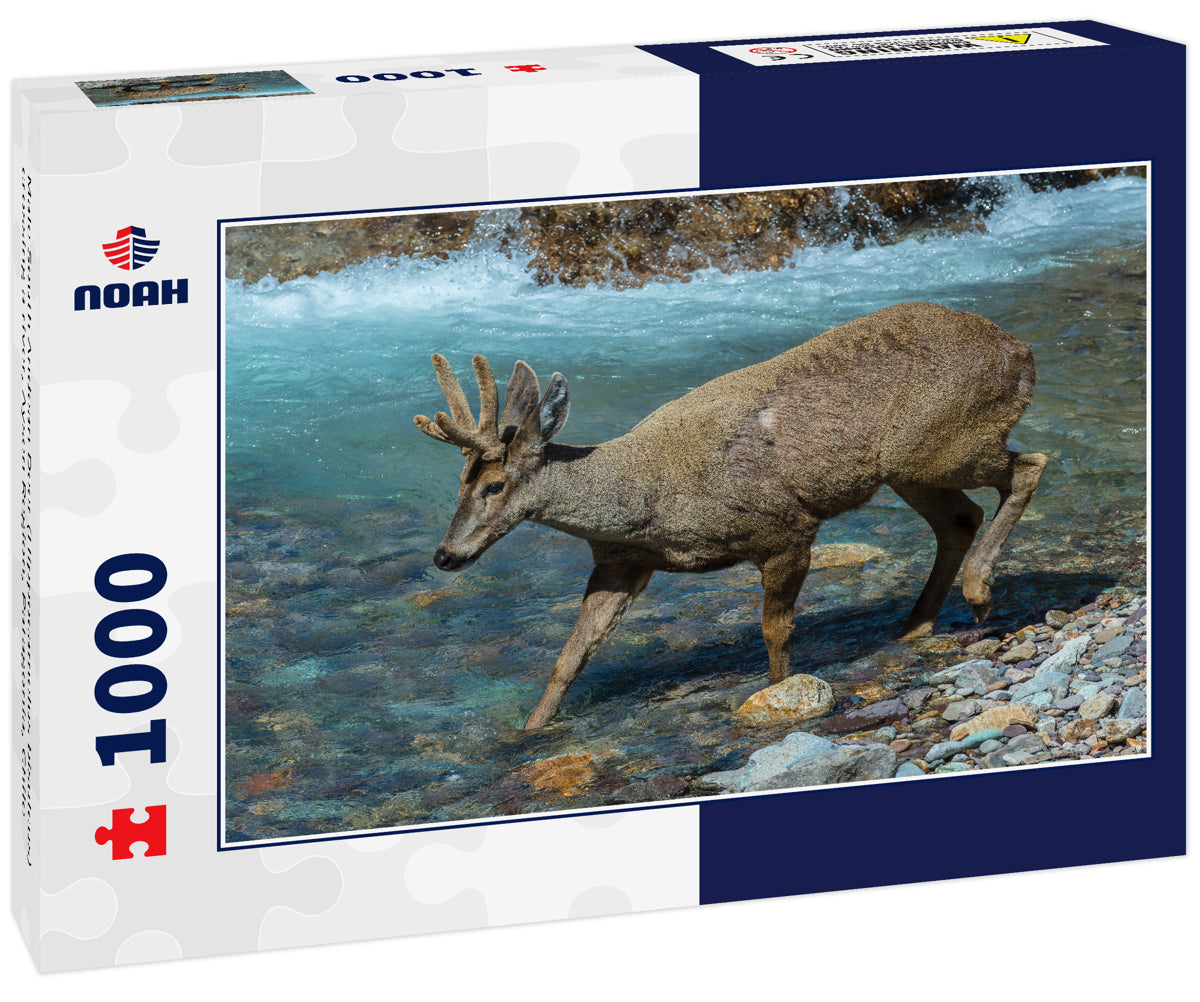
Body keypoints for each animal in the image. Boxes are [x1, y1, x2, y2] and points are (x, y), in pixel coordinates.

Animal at [413, 302, 1047, 730]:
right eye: (459, 484)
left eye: (494, 484)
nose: (446, 555)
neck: (645, 500)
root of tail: (1020, 349)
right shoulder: (620, 562)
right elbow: (570, 655)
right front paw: (528, 732)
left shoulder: (785, 527)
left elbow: (775, 630)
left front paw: (779, 694)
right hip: (910, 465)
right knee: (960, 519)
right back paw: (915, 624)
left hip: (937, 442)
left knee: (1029, 465)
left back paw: (979, 591)